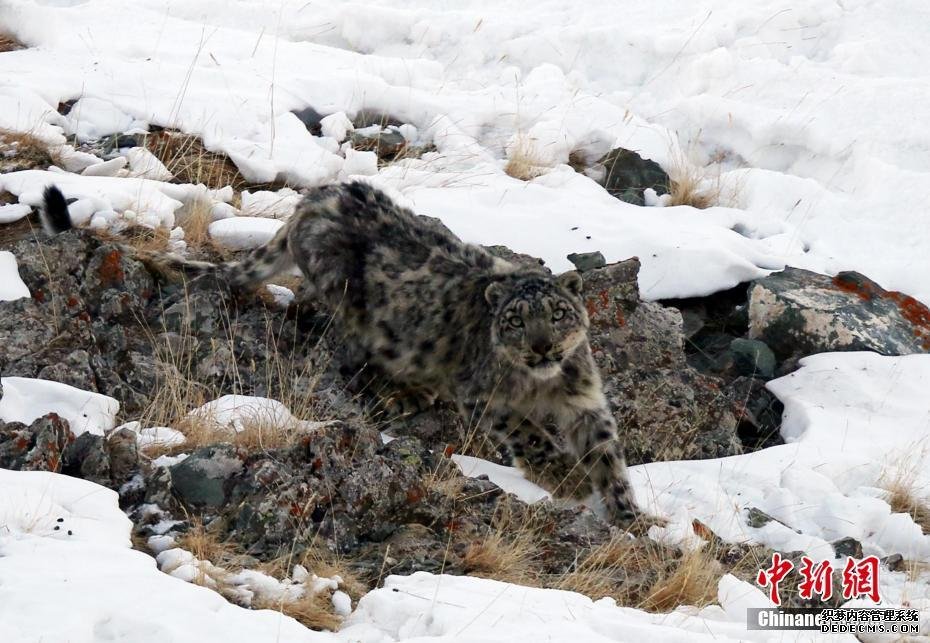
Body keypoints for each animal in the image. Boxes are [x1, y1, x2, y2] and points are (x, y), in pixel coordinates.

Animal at [41, 184, 640, 524]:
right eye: (516, 320)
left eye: (558, 314)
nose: (541, 346)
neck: (542, 385)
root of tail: (310, 202)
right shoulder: (485, 397)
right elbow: (529, 435)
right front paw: (565, 475)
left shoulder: (585, 401)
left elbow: (607, 455)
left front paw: (628, 513)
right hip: (352, 304)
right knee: (355, 354)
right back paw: (404, 390)